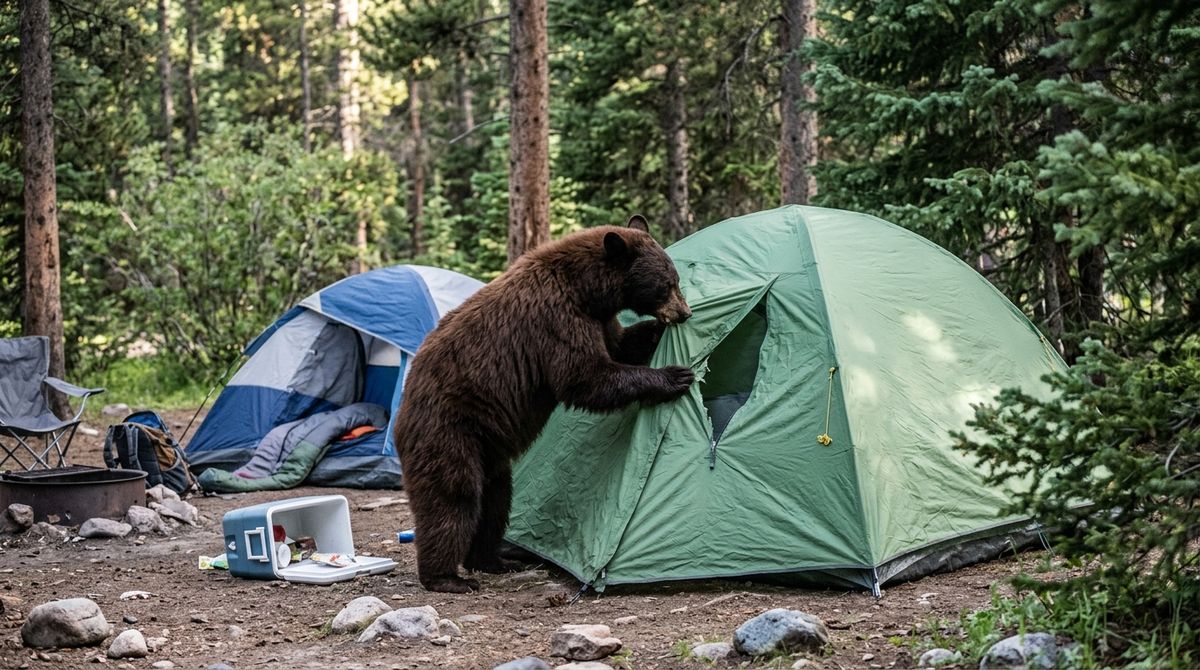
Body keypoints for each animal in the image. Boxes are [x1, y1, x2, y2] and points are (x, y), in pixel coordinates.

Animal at [394, 215, 694, 593]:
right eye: (665, 284)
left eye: (675, 279)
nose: (684, 313)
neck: (586, 291)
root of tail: (402, 414)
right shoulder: (556, 320)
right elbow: (586, 377)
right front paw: (674, 376)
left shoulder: (598, 319)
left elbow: (619, 346)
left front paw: (653, 331)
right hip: (450, 431)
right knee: (453, 496)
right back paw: (447, 577)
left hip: (489, 449)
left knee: (496, 499)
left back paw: (494, 560)